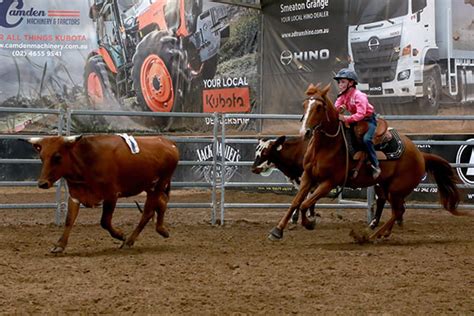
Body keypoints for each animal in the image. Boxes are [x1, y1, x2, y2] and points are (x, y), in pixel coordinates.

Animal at [27, 135, 180, 253]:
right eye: (41, 157)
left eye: (57, 156)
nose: (42, 183)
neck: (86, 159)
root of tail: (169, 143)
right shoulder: (76, 195)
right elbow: (69, 220)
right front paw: (59, 245)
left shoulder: (111, 195)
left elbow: (105, 221)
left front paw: (121, 235)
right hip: (150, 187)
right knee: (161, 203)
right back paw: (161, 230)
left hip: (158, 185)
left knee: (148, 212)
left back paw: (129, 241)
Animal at [266, 82, 470, 241]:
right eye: (304, 105)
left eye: (318, 107)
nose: (305, 132)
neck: (326, 146)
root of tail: (421, 155)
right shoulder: (308, 177)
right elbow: (296, 202)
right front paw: (277, 230)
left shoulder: (329, 182)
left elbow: (305, 204)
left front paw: (310, 222)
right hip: (387, 187)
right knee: (398, 210)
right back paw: (381, 233)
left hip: (396, 189)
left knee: (397, 211)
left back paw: (371, 236)